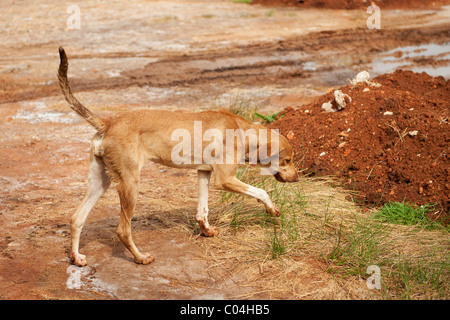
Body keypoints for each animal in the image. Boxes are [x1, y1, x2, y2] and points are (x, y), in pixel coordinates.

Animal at [57, 47, 298, 268]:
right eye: (287, 161)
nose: (297, 178)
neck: (240, 129)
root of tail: (108, 123)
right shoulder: (225, 180)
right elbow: (261, 191)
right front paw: (272, 209)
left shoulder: (203, 173)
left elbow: (202, 210)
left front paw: (206, 231)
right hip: (130, 184)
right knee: (122, 230)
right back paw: (141, 258)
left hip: (100, 181)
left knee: (76, 219)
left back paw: (77, 258)